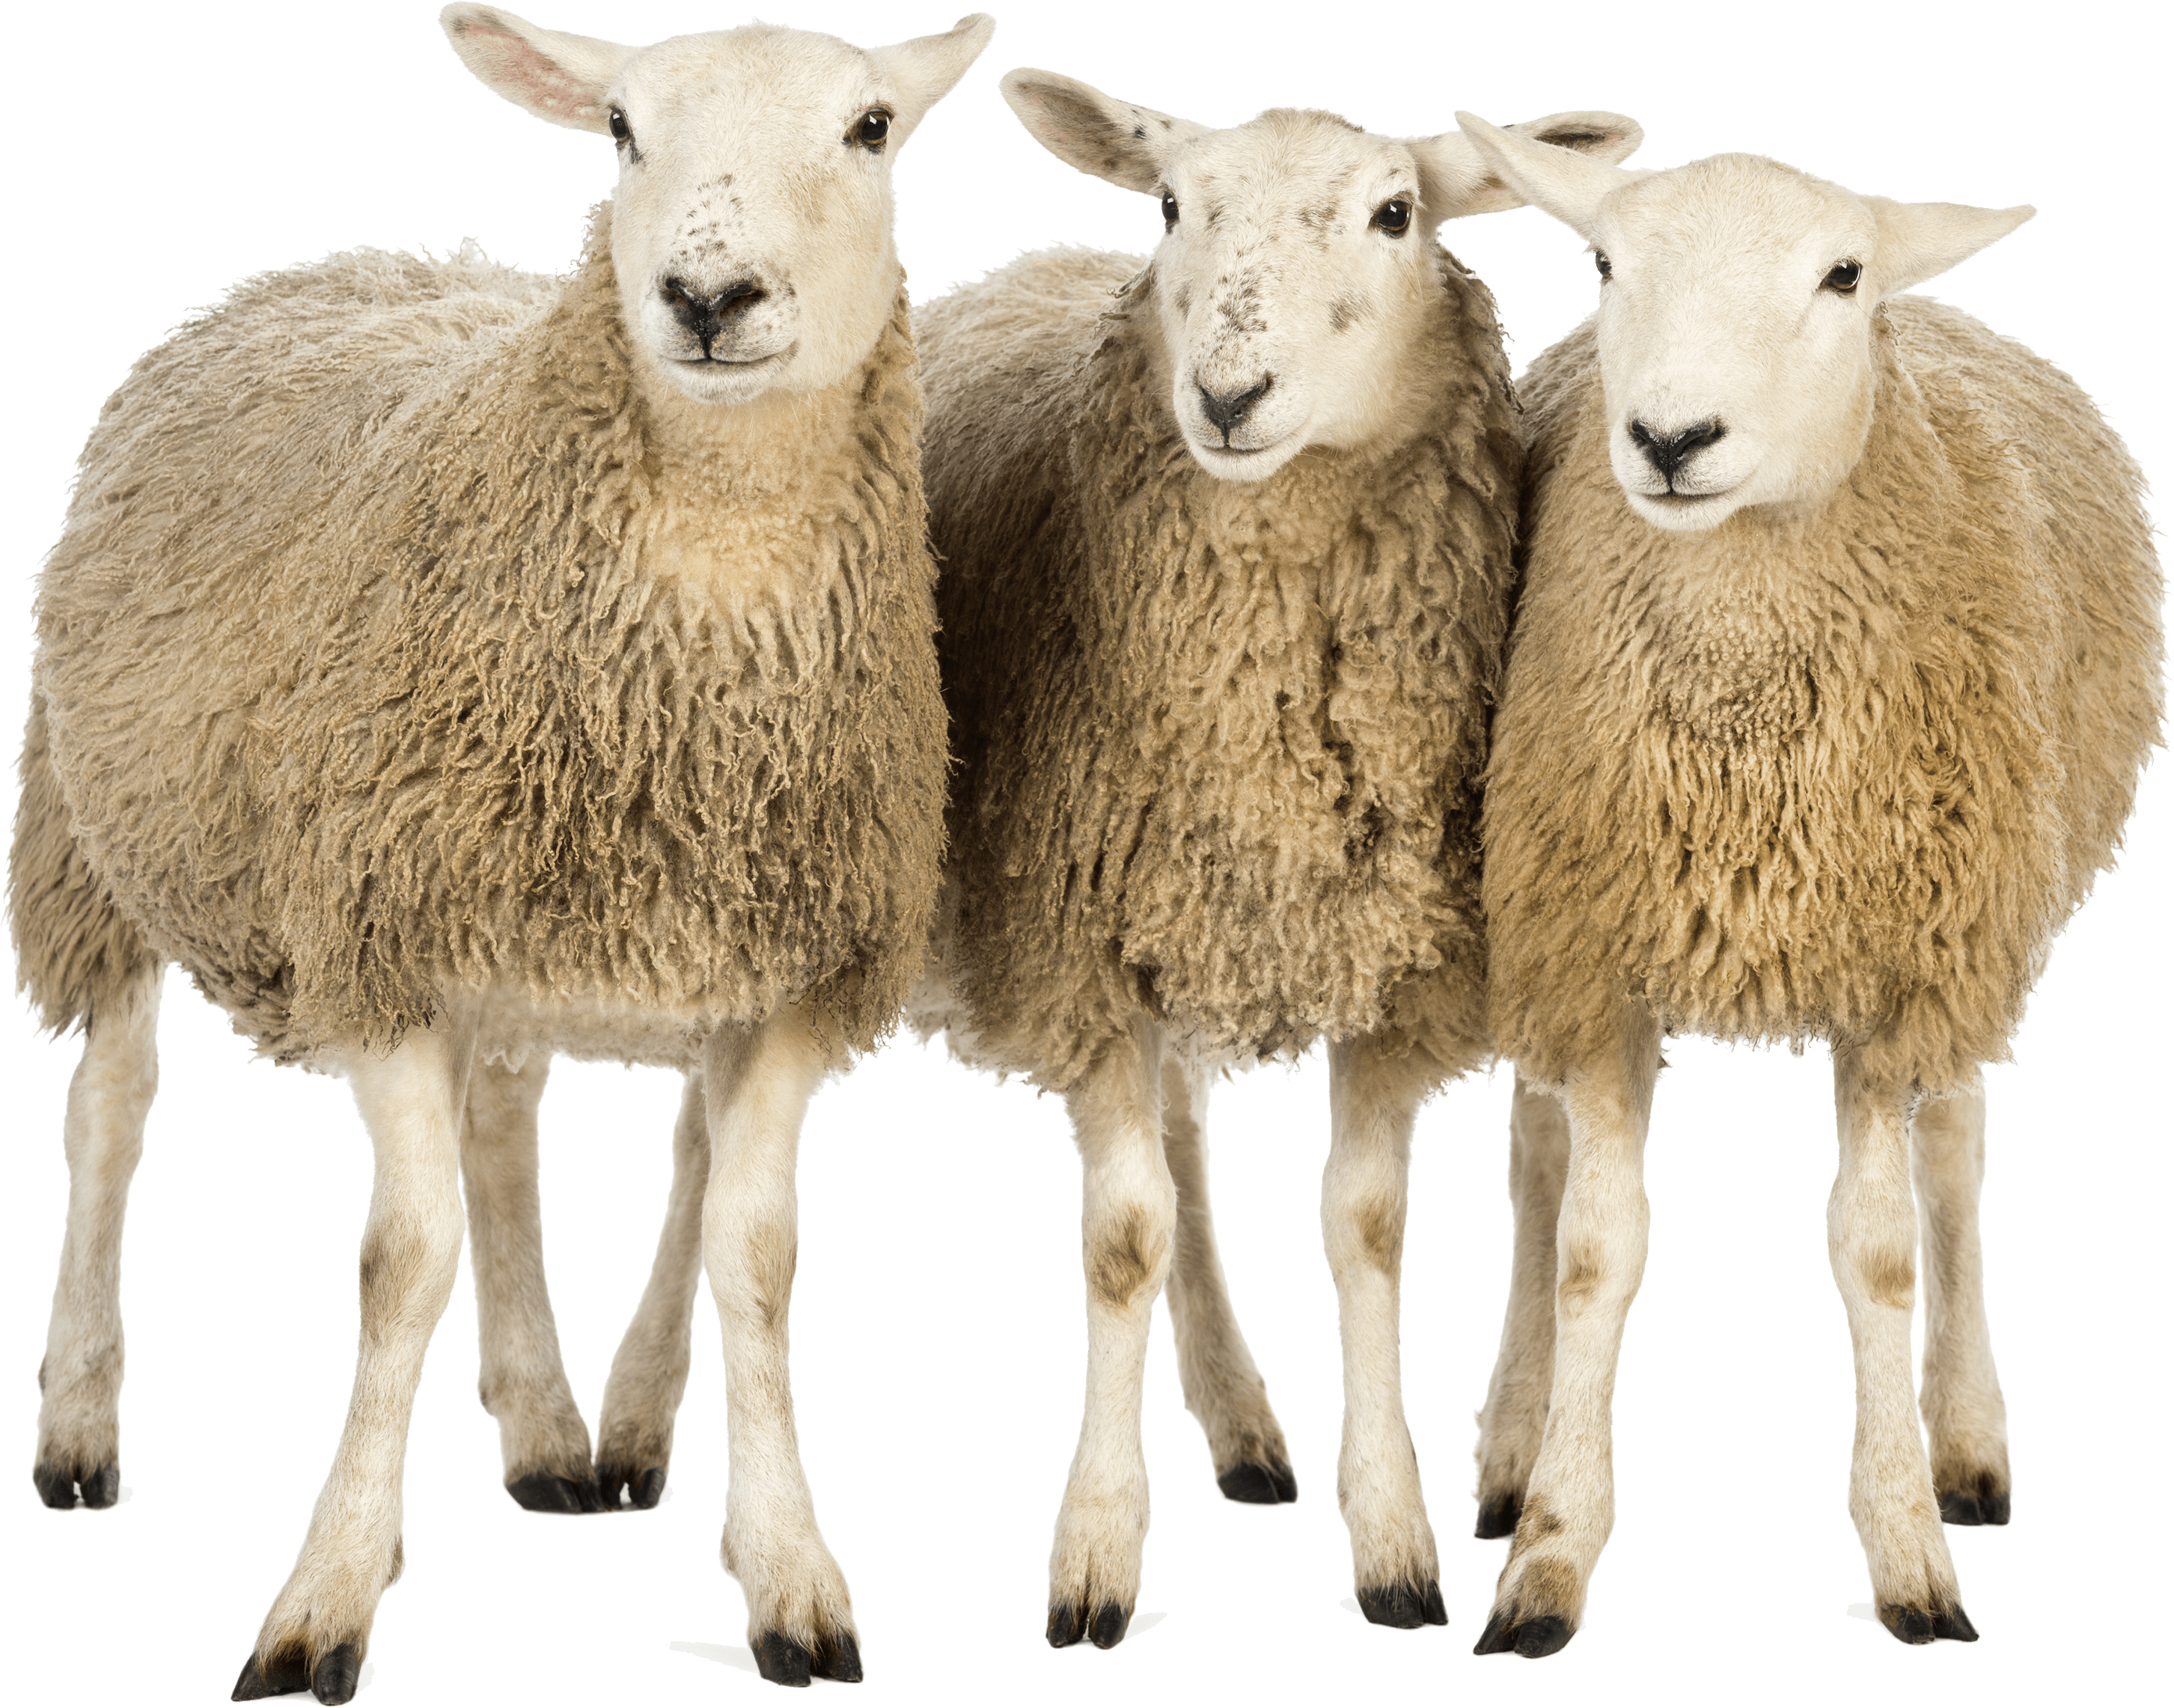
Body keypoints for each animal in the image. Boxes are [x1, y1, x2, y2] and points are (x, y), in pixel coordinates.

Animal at [9, 6, 993, 1698]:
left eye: (871, 127)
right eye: (620, 132)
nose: (708, 296)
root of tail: (314, 265)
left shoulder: (778, 981)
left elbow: (755, 1247)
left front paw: (791, 1578)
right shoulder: (378, 943)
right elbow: (401, 1258)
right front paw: (324, 1596)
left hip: (511, 913)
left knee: (505, 1121)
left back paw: (548, 1432)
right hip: (97, 841)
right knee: (112, 1115)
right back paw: (78, 1425)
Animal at [899, 71, 1640, 1647]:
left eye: (1396, 212)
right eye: (1177, 206)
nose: (1228, 397)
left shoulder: (1394, 965)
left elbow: (1365, 1229)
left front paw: (1397, 1539)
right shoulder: (1090, 954)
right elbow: (1121, 1239)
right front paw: (1096, 1552)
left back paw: (1286, 1436)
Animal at [1450, 112, 2163, 1657]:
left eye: (1838, 276)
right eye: (1608, 261)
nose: (1671, 439)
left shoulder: (1897, 970)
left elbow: (1877, 1249)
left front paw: (1907, 1550)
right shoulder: (1595, 950)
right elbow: (1594, 1242)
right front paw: (1548, 1552)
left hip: (1981, 925)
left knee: (1955, 1161)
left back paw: (1966, 1451)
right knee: (1532, 1167)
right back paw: (1509, 1451)